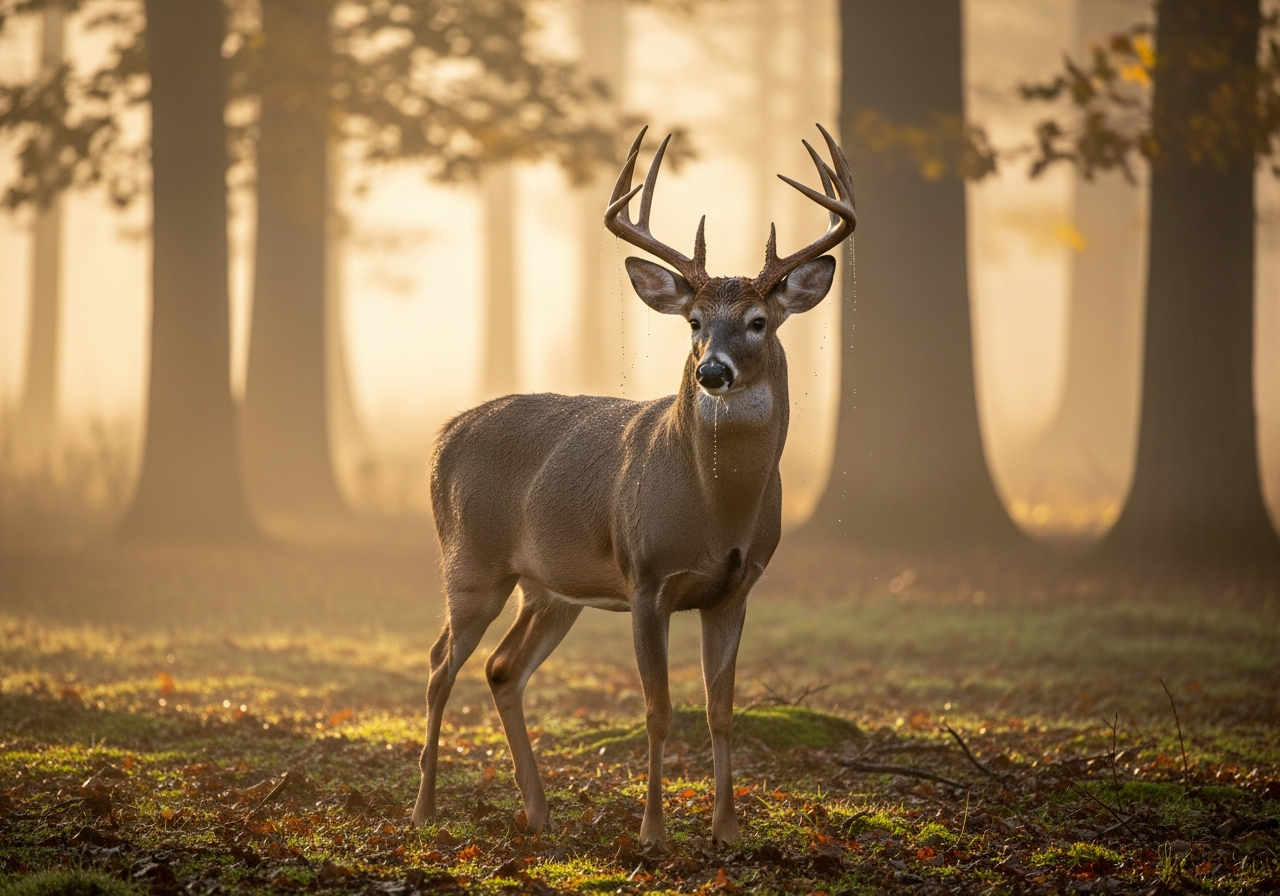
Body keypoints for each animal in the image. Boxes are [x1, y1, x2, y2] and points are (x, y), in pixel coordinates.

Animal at [410, 124, 856, 848]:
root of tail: (443, 435)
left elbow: (720, 709)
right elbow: (658, 709)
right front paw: (653, 832)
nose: (712, 371)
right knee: (438, 662)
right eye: (693, 321)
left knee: (501, 668)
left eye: (758, 321)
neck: (717, 511)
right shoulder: (647, 576)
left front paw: (726, 828)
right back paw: (423, 809)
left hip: (550, 588)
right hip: (471, 564)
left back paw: (539, 812)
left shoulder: (738, 586)